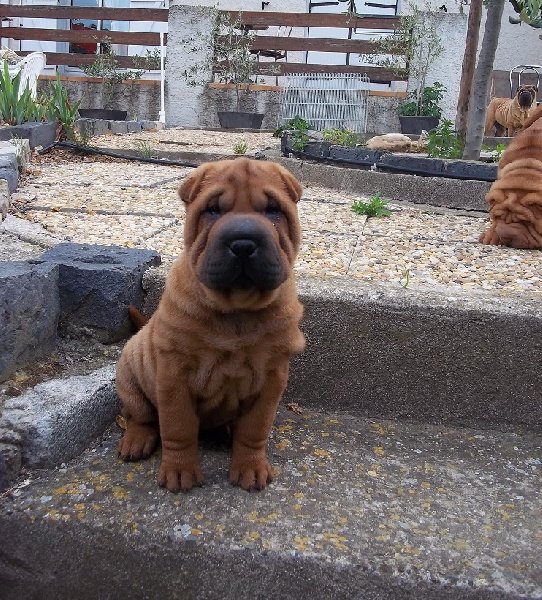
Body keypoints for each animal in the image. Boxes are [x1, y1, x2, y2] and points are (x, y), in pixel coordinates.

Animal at [115, 158, 306, 492]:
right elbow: (178, 427)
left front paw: (250, 467)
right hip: (130, 379)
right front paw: (180, 472)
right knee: (140, 416)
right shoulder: (174, 376)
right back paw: (136, 441)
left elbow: (255, 430)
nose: (243, 243)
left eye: (273, 210)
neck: (237, 309)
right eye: (213, 210)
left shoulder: (272, 377)